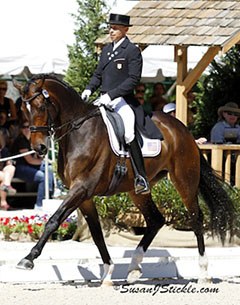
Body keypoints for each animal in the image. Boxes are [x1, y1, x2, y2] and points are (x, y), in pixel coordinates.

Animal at [14, 74, 232, 282]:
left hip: (184, 180)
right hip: (138, 190)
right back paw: (134, 267)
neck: (78, 132)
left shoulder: (81, 188)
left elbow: (54, 220)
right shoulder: (84, 196)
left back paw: (203, 272)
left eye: (41, 106)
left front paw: (28, 259)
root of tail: (183, 129)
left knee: (196, 218)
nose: (39, 148)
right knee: (155, 220)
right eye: (24, 111)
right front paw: (108, 272)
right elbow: (96, 233)